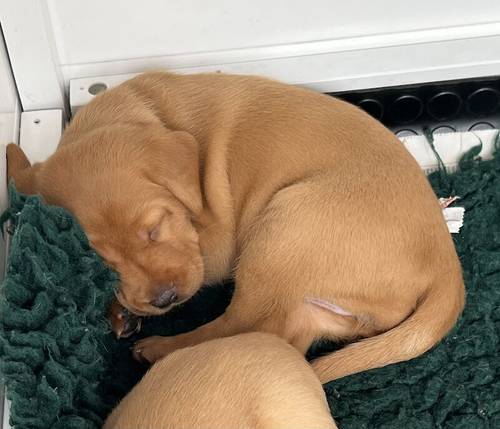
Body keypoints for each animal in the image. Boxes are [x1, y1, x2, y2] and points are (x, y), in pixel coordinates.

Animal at [5, 70, 464, 382]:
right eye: (104, 263)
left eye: (156, 228)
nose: (164, 299)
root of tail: (446, 265)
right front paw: (118, 308)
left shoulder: (214, 248)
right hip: (318, 301)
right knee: (281, 336)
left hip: (283, 230)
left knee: (242, 325)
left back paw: (160, 350)